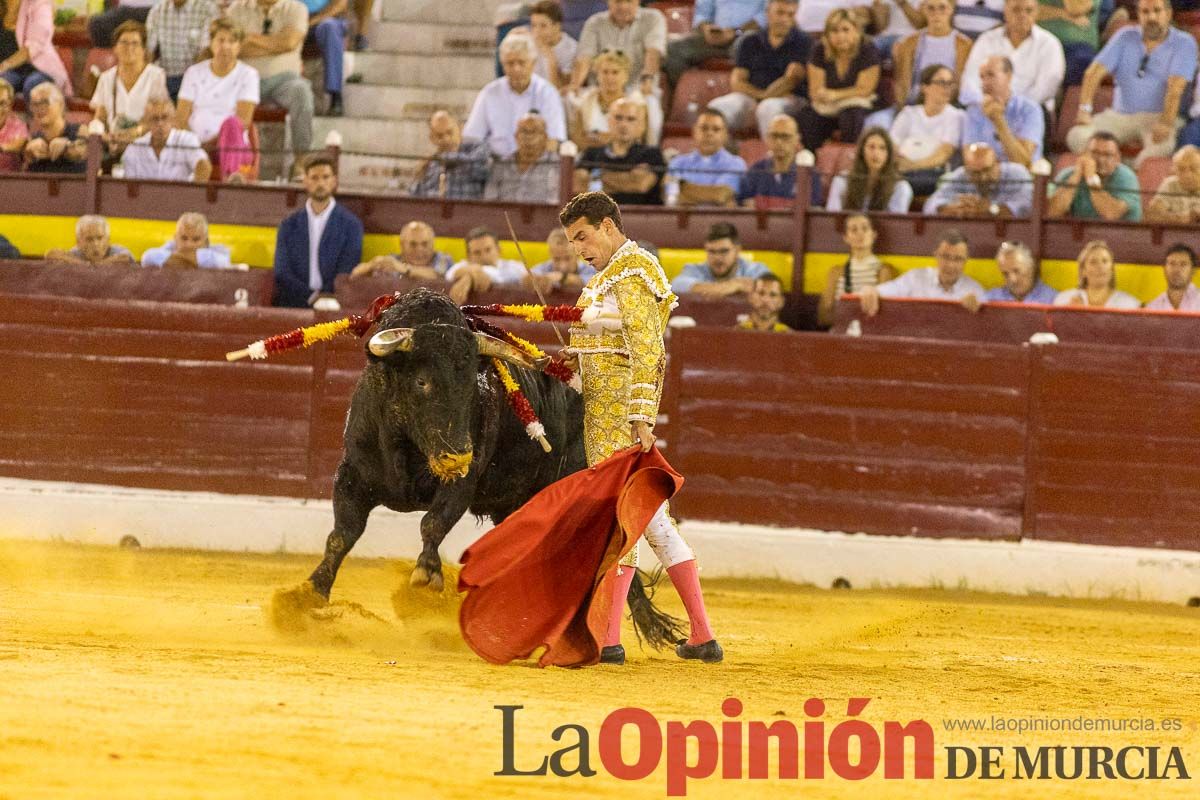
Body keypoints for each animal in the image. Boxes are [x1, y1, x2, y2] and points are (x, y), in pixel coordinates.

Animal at [297, 291, 686, 647]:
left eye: (472, 384)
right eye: (422, 381)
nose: (456, 456)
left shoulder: (462, 484)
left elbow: (433, 522)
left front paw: (426, 575)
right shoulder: (351, 474)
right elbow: (342, 535)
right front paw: (309, 595)